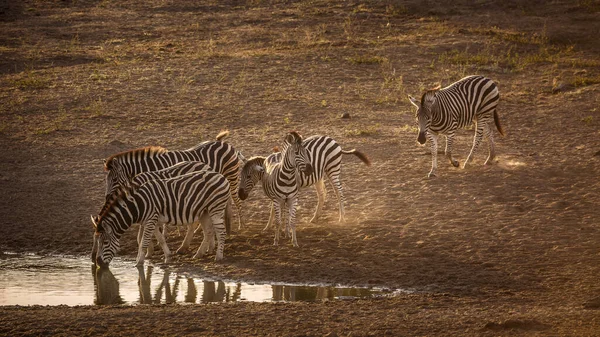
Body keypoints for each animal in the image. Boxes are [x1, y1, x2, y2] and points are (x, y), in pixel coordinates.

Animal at [92, 168, 231, 268]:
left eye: (105, 243)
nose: (98, 264)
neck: (139, 205)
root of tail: (221, 176)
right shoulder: (151, 221)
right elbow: (160, 239)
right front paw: (168, 256)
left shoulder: (150, 220)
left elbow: (143, 242)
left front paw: (139, 262)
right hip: (204, 211)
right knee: (208, 232)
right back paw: (198, 254)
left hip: (215, 208)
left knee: (221, 232)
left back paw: (218, 257)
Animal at [102, 130, 245, 232]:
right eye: (106, 179)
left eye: (114, 179)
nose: (107, 197)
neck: (152, 167)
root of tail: (223, 142)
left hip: (232, 176)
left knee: (237, 201)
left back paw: (240, 225)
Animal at [239, 133, 370, 226]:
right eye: (240, 176)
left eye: (248, 176)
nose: (240, 195)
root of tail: (332, 139)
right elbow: (274, 208)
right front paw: (270, 226)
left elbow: (275, 209)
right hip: (318, 175)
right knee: (322, 194)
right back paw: (315, 218)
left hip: (333, 169)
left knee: (339, 192)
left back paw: (341, 218)